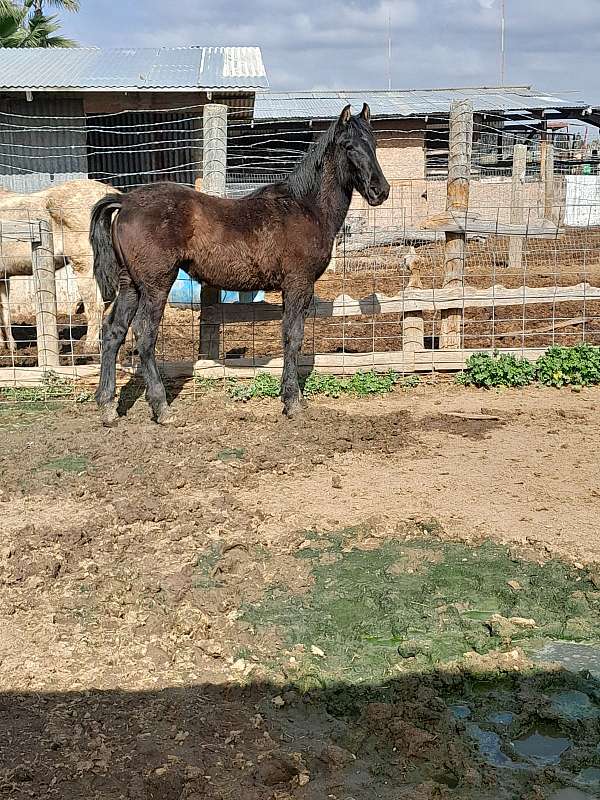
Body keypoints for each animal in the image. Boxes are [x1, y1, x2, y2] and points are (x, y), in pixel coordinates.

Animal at [0, 180, 118, 352]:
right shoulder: (3, 277)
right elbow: (5, 312)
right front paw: (9, 347)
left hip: (85, 265)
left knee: (96, 305)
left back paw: (89, 347)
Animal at [89, 105, 390, 424]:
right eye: (349, 146)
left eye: (373, 143)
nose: (380, 190)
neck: (305, 207)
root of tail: (125, 201)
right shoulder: (299, 285)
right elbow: (293, 336)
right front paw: (292, 401)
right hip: (156, 285)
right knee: (145, 334)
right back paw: (161, 407)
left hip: (130, 285)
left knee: (113, 332)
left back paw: (107, 406)